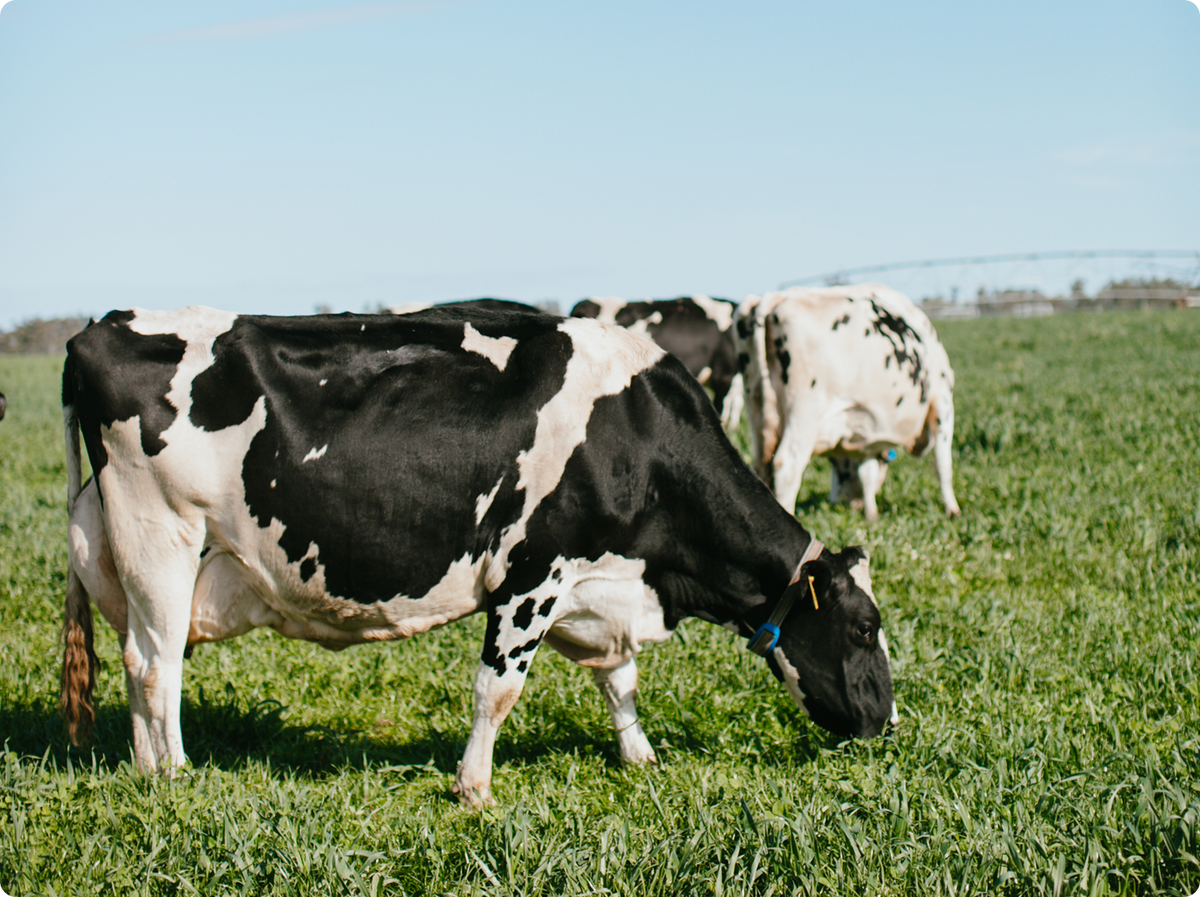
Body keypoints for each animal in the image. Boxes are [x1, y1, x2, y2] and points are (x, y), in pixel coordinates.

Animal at [735, 285, 960, 523]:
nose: (851, 502)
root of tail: (774, 298)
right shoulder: (943, 400)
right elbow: (943, 464)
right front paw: (952, 509)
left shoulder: (864, 426)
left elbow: (867, 471)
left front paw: (871, 512)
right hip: (805, 415)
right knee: (787, 467)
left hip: (757, 411)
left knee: (760, 466)